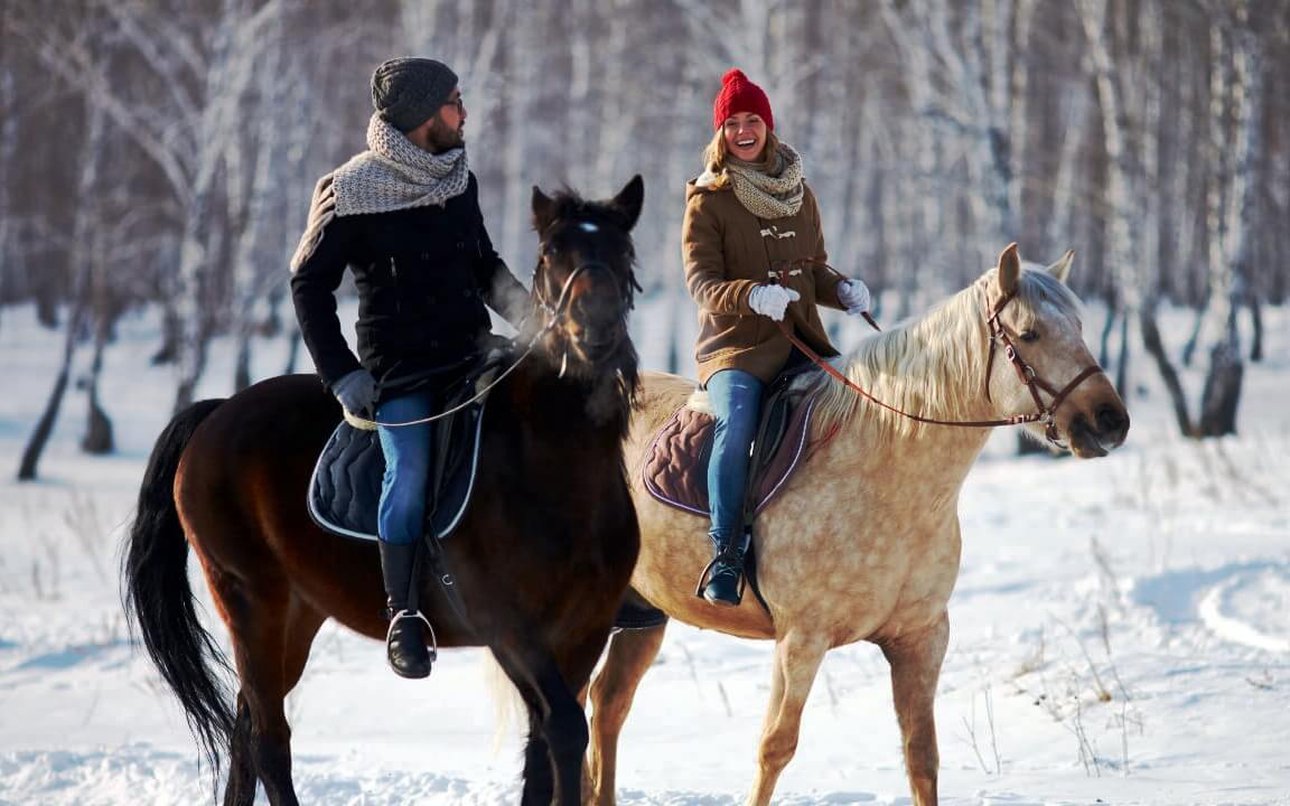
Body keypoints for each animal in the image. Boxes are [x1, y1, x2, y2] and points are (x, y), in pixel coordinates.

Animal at [125, 175, 645, 804]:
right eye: (551, 253)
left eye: (624, 252)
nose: (595, 331)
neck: (555, 465)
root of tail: (217, 412)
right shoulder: (510, 628)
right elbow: (565, 730)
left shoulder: (583, 632)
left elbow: (542, 751)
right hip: (251, 601)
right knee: (268, 738)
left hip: (296, 615)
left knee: (246, 727)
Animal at [585, 242, 1130, 799]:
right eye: (1030, 334)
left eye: (1079, 326)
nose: (1111, 421)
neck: (886, 476)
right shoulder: (801, 639)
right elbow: (775, 747)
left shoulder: (922, 638)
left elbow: (921, 756)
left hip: (644, 613)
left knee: (606, 705)